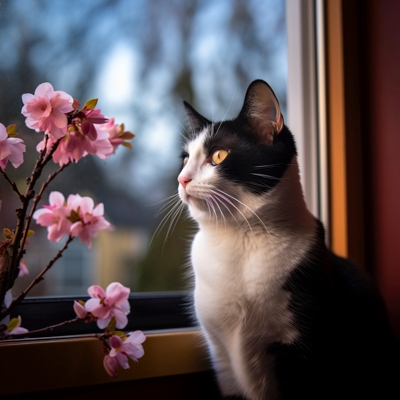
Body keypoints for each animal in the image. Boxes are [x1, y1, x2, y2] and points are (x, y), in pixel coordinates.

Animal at [178, 79, 400, 400]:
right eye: (185, 159)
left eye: (219, 155)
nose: (181, 179)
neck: (239, 238)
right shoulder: (222, 358)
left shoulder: (306, 350)